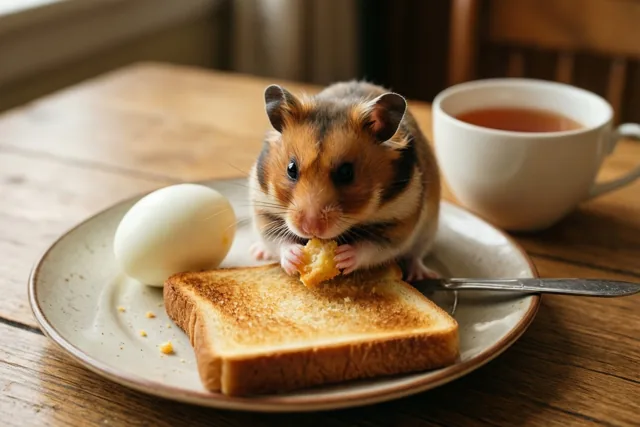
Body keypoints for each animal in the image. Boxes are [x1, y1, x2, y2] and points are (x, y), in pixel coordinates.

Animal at [248, 80, 441, 281]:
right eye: (291, 169)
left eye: (346, 173)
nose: (310, 228)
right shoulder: (263, 208)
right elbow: (277, 240)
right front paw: (296, 256)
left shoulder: (400, 220)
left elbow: (372, 247)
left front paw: (343, 257)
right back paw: (259, 252)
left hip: (428, 228)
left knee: (416, 255)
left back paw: (421, 274)